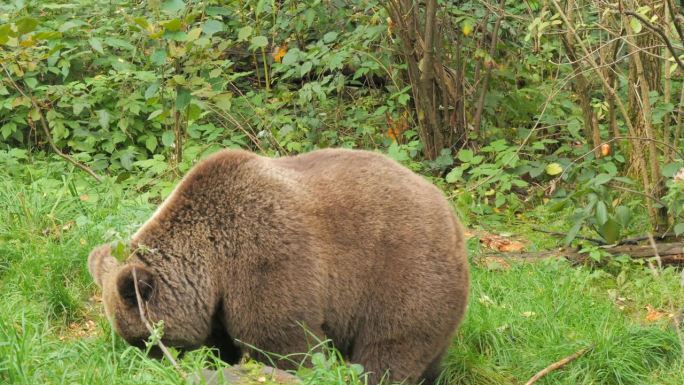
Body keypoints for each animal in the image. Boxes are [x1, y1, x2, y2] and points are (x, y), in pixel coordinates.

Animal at [87, 148, 470, 384]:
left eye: (147, 341)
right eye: (135, 342)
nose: (153, 366)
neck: (211, 261)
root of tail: (450, 213)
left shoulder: (265, 257)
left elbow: (281, 340)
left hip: (400, 273)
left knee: (389, 348)